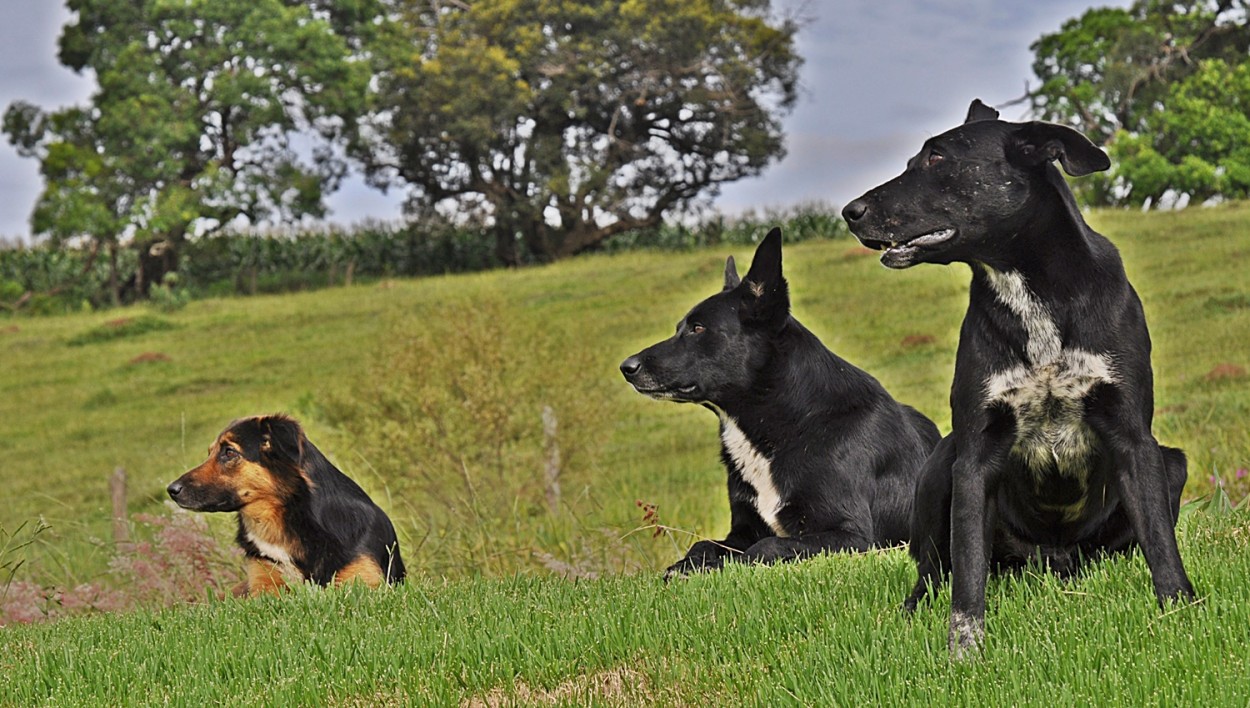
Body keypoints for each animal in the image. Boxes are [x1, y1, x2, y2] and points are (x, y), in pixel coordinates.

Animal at [622, 230, 940, 580]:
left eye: (698, 328)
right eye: (681, 327)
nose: (627, 367)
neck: (792, 420)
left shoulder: (852, 536)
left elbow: (766, 547)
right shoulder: (743, 531)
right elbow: (703, 544)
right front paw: (687, 567)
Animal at [840, 100, 1190, 660]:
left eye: (937, 158)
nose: (850, 212)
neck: (1028, 289)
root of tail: (1052, 562)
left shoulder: (1135, 439)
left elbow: (1160, 541)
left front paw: (1180, 615)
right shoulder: (974, 456)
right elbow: (967, 576)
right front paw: (964, 652)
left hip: (1171, 462)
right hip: (941, 464)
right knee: (933, 570)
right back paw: (912, 609)